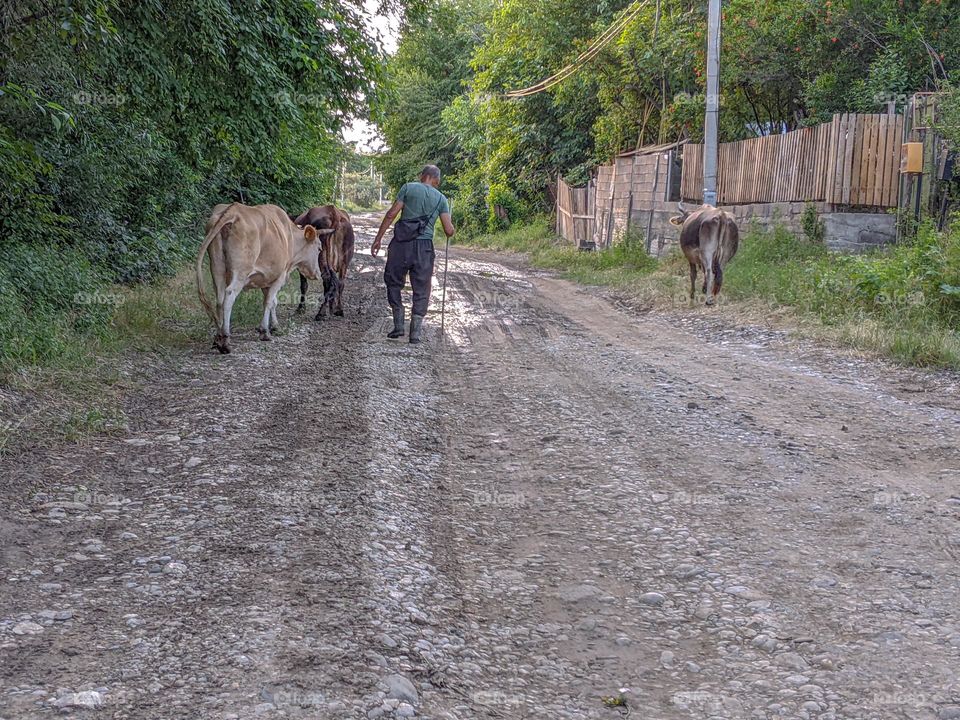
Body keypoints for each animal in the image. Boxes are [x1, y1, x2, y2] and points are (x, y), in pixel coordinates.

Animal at [193, 202, 332, 354]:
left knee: (219, 298)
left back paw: (217, 338)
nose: (317, 273)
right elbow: (269, 302)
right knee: (229, 296)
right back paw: (225, 340)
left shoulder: (266, 277)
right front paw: (265, 331)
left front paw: (275, 326)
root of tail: (232, 210)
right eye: (319, 248)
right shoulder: (280, 275)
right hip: (240, 271)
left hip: (216, 267)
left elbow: (273, 301)